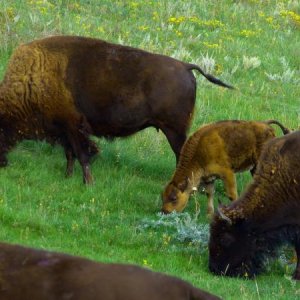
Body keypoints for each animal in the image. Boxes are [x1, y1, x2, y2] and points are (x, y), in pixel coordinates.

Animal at [0, 35, 233, 183]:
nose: (2, 164)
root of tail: (186, 66)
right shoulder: (65, 129)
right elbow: (70, 154)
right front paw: (68, 177)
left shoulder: (73, 126)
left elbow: (82, 154)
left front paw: (88, 183)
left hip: (174, 131)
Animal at [162, 119, 290, 216]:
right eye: (163, 196)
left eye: (173, 198)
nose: (164, 212)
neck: (200, 150)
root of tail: (267, 125)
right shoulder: (209, 177)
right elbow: (210, 193)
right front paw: (209, 214)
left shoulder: (227, 173)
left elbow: (232, 195)